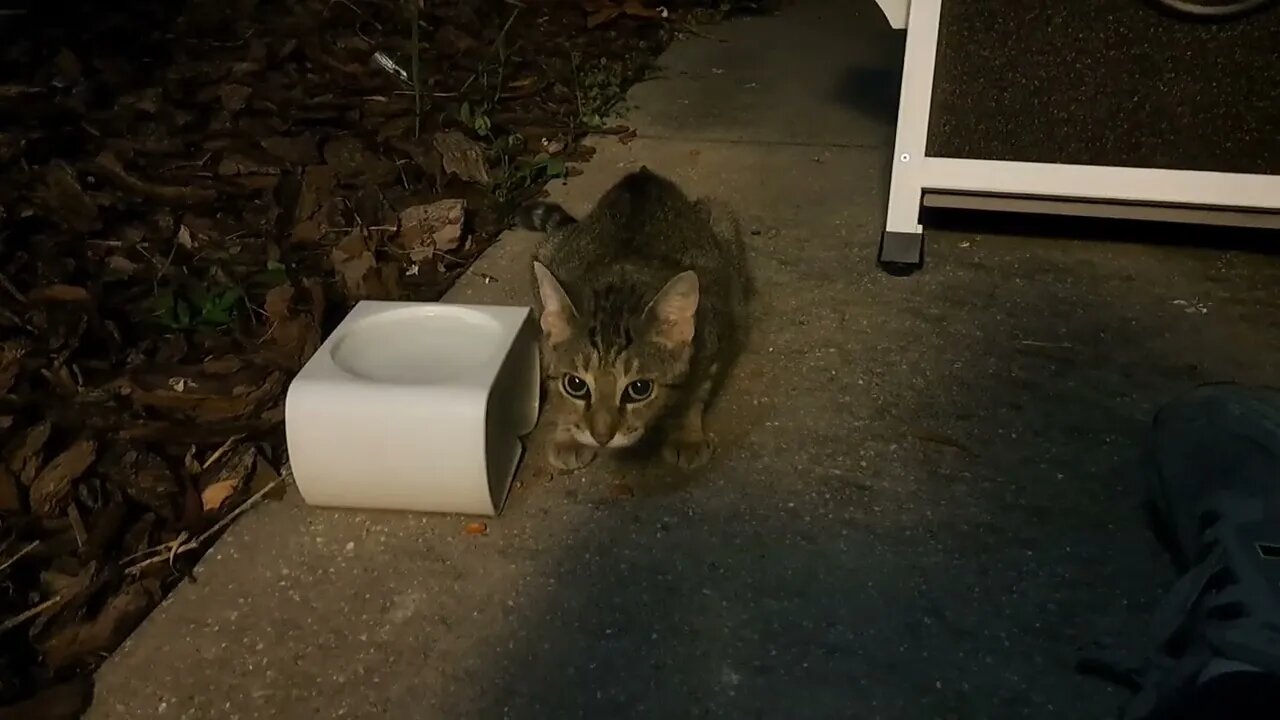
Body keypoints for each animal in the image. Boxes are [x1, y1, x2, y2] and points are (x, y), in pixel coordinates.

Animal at [514, 167, 747, 471]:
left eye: (639, 389)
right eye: (576, 385)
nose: (601, 437)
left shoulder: (715, 329)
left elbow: (696, 392)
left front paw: (686, 435)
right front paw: (569, 435)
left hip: (724, 230)